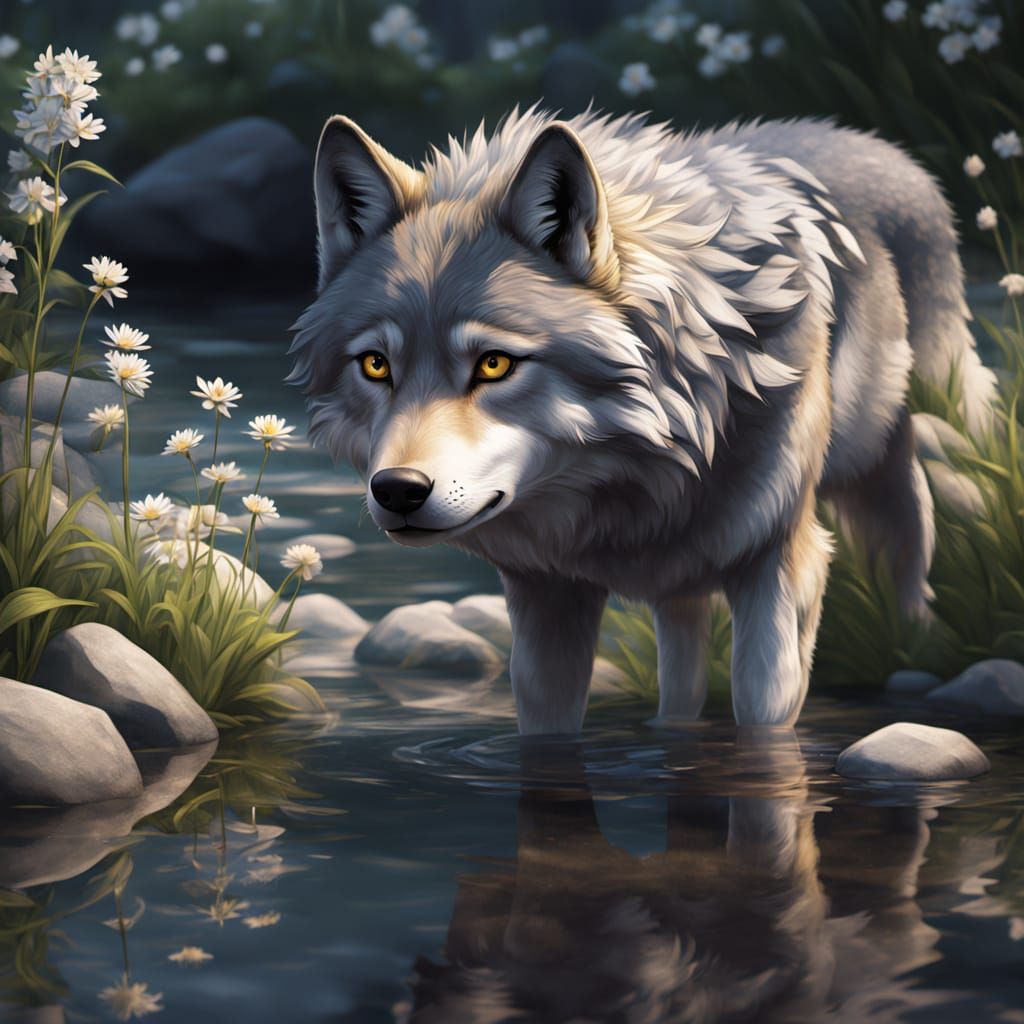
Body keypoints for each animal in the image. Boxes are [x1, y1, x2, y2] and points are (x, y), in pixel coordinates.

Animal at [290, 107, 995, 735]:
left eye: (493, 364)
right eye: (376, 365)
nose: (397, 490)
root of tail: (879, 146)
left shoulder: (778, 565)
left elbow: (763, 719)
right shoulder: (547, 591)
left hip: (892, 458)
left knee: (912, 541)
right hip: (684, 575)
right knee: (682, 669)